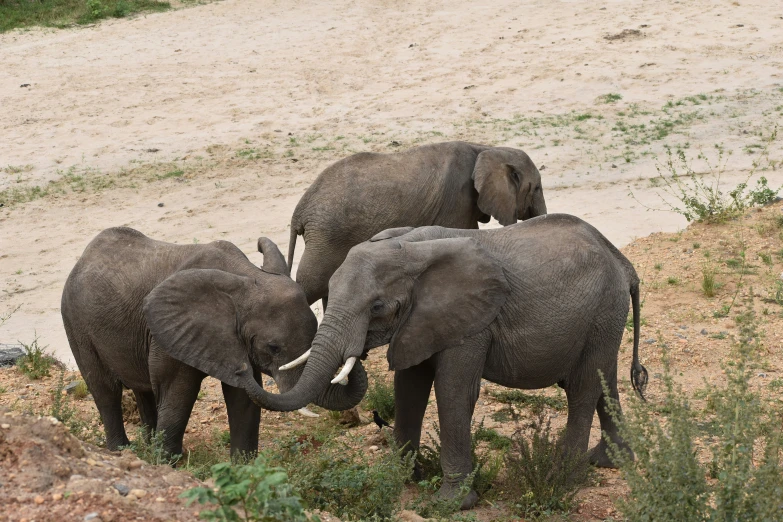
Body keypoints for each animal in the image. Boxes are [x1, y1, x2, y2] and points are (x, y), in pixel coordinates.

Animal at [61, 225, 368, 458]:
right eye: (273, 348)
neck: (247, 276)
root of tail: (82, 258)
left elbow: (243, 400)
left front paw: (244, 470)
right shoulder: (168, 333)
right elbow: (177, 394)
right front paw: (169, 464)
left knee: (142, 390)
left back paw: (146, 449)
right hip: (75, 322)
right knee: (105, 390)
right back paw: (123, 453)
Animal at [251, 212, 648, 508]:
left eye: (377, 307)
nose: (357, 353)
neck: (410, 249)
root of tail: (621, 261)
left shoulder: (473, 323)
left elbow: (453, 390)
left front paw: (453, 504)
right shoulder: (419, 320)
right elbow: (408, 389)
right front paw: (399, 479)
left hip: (603, 310)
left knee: (582, 387)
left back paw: (564, 479)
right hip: (605, 316)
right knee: (604, 382)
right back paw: (611, 461)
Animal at [284, 140, 548, 306]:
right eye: (536, 188)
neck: (486, 148)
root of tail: (299, 211)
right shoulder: (458, 199)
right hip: (326, 236)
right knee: (310, 284)